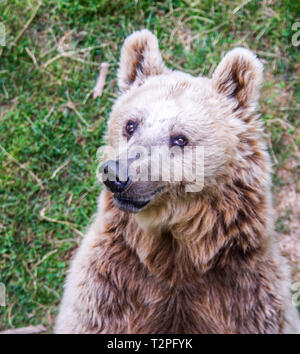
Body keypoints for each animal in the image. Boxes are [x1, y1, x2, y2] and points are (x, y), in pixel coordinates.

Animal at [55, 29, 300, 334]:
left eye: (180, 138)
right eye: (130, 124)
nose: (117, 174)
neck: (178, 255)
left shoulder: (246, 295)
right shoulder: (110, 287)